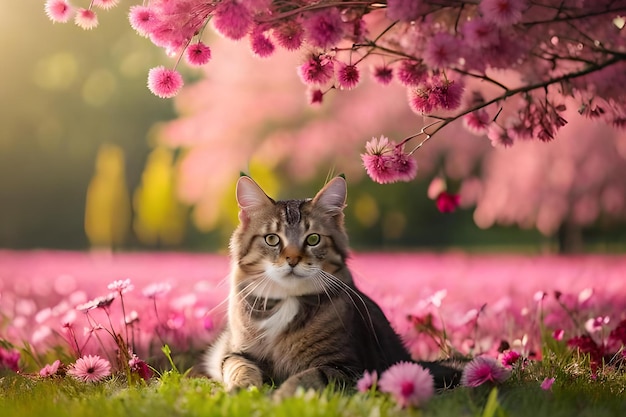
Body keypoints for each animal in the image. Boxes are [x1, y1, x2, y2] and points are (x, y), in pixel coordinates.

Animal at [202, 175, 460, 396]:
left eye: (313, 239)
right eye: (272, 239)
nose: (292, 259)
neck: (288, 301)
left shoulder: (347, 367)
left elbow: (309, 376)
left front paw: (280, 395)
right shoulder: (234, 352)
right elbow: (238, 367)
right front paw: (241, 388)